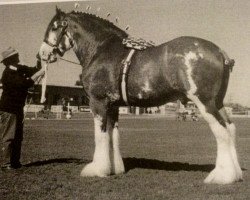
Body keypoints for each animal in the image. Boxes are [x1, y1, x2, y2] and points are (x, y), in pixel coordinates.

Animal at [38, 7, 242, 184]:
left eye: (54, 27)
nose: (42, 54)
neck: (101, 49)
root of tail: (219, 52)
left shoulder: (98, 102)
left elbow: (101, 135)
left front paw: (97, 169)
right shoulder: (113, 105)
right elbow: (113, 135)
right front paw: (115, 168)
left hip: (204, 102)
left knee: (221, 131)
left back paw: (221, 176)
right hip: (218, 102)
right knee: (231, 128)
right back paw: (236, 174)